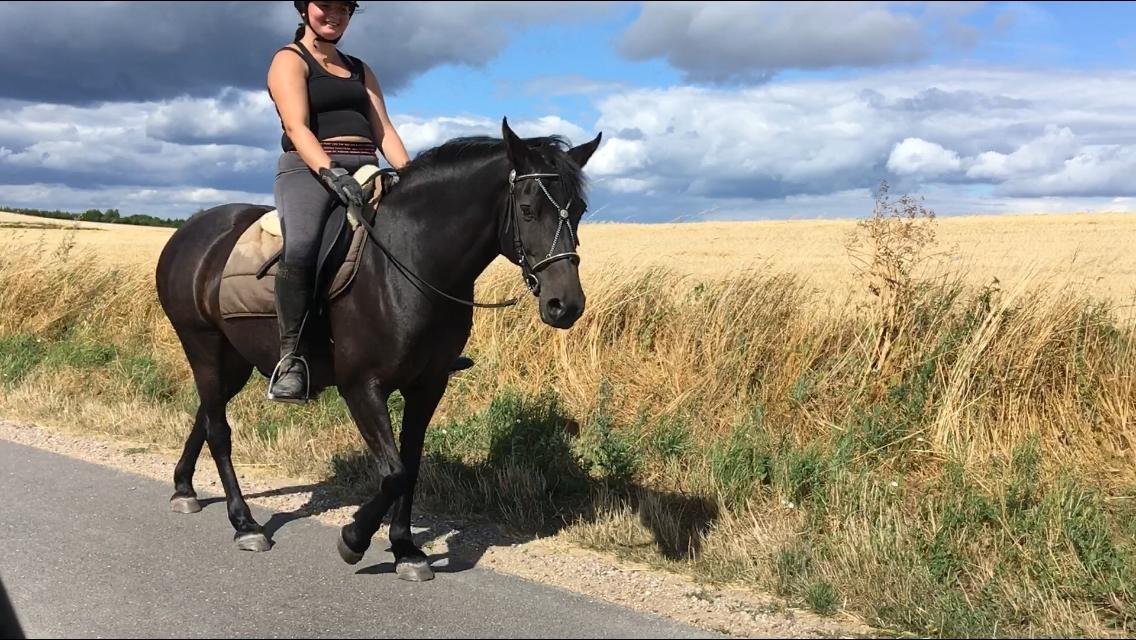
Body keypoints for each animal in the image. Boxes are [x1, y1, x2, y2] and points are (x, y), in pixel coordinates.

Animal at [159, 118, 604, 582]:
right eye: (528, 208)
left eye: (579, 210)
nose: (566, 305)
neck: (411, 264)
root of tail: (190, 230)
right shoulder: (361, 386)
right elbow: (393, 472)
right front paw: (354, 538)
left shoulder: (428, 385)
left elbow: (410, 466)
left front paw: (405, 548)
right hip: (203, 345)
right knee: (219, 430)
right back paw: (244, 524)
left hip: (234, 360)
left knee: (206, 415)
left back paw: (184, 488)